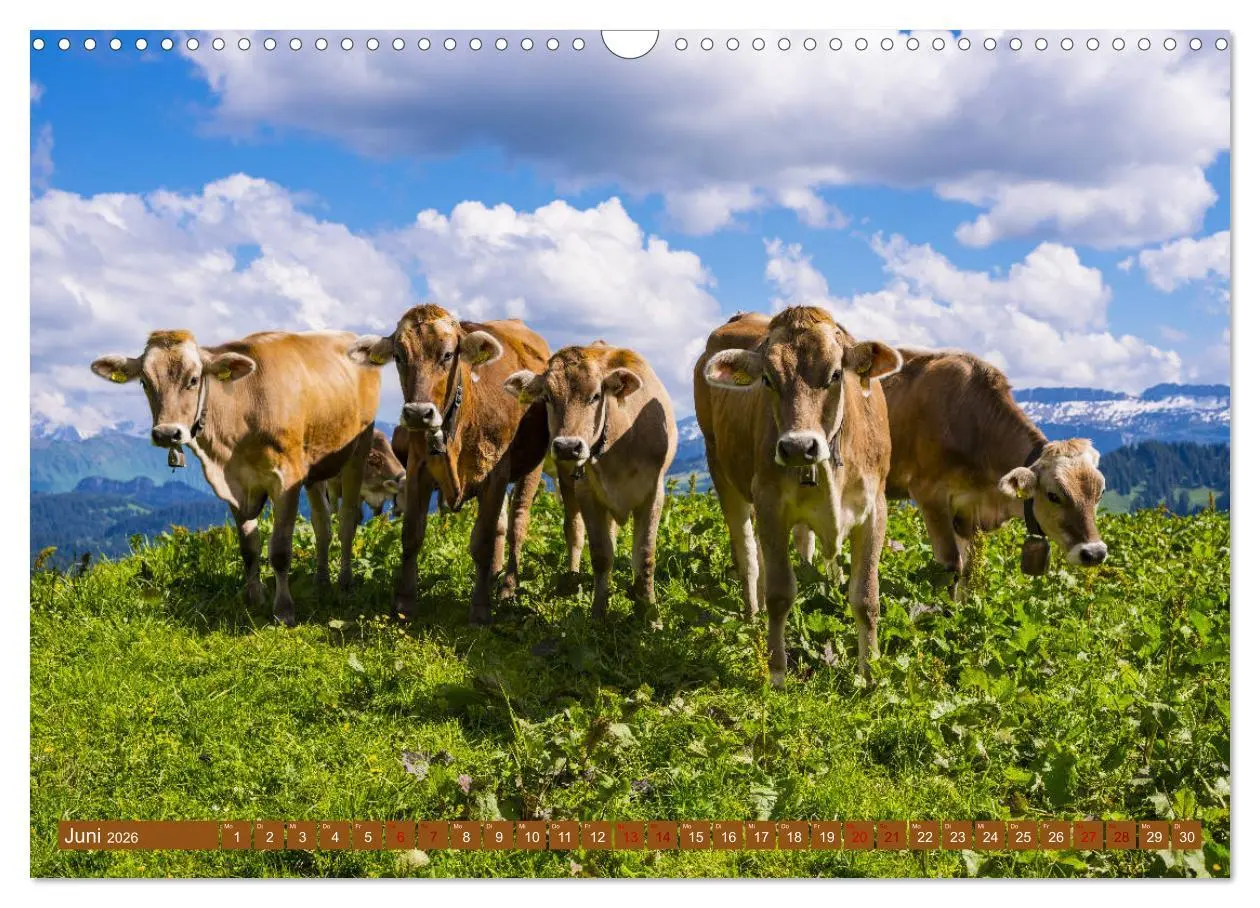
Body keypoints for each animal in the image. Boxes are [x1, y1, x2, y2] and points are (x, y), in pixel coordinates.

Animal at [90, 330, 380, 625]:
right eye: (144, 382)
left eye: (193, 379)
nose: (166, 433)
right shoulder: (234, 485)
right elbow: (249, 547)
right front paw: (253, 598)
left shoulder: (287, 479)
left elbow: (280, 550)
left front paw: (283, 610)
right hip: (315, 463)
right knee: (322, 524)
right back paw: (321, 582)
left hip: (359, 449)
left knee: (347, 520)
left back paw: (345, 583)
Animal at [348, 304, 550, 623]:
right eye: (399, 356)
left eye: (447, 355)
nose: (418, 413)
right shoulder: (416, 469)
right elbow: (412, 534)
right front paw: (404, 603)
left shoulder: (496, 473)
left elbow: (482, 541)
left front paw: (480, 609)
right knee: (501, 526)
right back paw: (493, 576)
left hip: (533, 467)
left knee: (517, 524)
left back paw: (507, 589)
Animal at [503, 343, 677, 621]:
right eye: (547, 397)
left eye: (596, 396)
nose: (567, 446)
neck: (619, 439)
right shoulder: (587, 492)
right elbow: (600, 554)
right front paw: (597, 613)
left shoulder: (654, 492)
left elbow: (645, 555)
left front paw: (650, 615)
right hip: (568, 483)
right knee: (574, 530)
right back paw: (572, 580)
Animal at [695, 308, 902, 685]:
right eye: (767, 379)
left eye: (835, 374)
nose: (797, 447)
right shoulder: (769, 503)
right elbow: (779, 594)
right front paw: (777, 671)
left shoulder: (875, 509)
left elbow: (866, 597)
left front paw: (869, 672)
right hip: (720, 469)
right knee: (747, 554)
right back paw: (752, 615)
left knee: (803, 545)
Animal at [881, 347, 1108, 595]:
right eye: (1053, 495)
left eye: (1100, 494)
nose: (1094, 553)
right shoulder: (929, 495)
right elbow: (951, 568)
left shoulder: (968, 513)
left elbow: (969, 571)